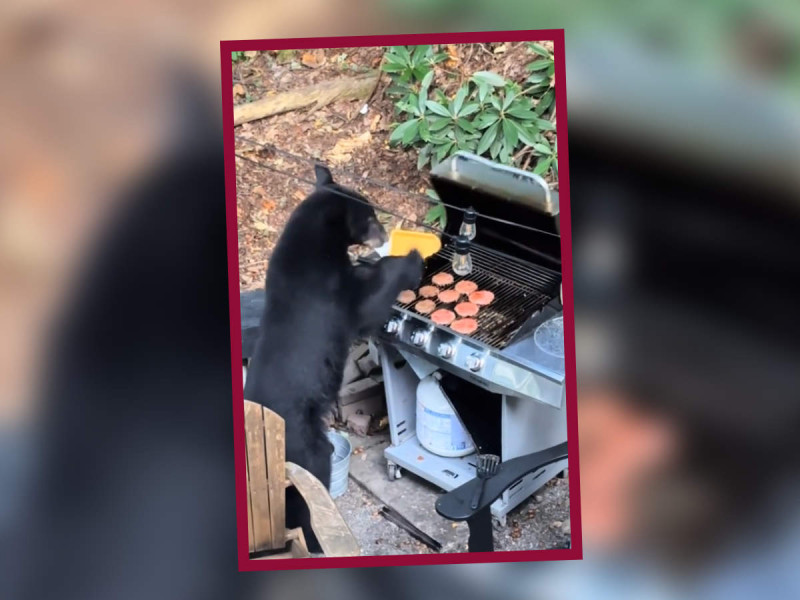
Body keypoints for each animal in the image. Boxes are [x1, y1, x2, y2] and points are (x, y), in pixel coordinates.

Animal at [245, 164, 424, 552]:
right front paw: (412, 257)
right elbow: (368, 304)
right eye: (370, 217)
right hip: (302, 449)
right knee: (309, 487)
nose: (383, 232)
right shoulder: (331, 291)